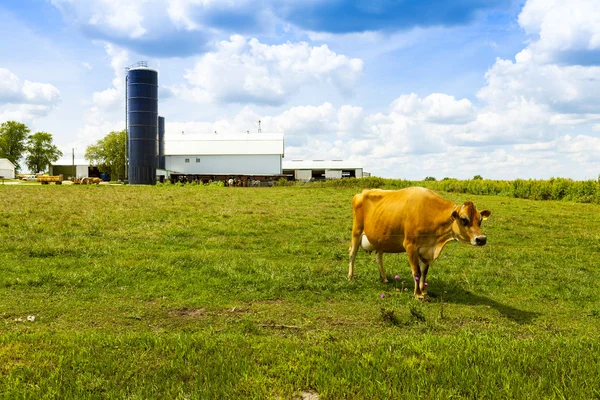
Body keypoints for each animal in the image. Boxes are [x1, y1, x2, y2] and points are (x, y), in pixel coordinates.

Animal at [350, 187, 490, 296]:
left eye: (480, 220)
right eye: (464, 219)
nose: (481, 239)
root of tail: (363, 192)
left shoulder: (427, 249)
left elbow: (424, 272)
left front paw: (423, 291)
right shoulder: (410, 245)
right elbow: (416, 272)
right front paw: (417, 294)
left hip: (380, 238)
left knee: (378, 257)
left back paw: (384, 278)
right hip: (357, 230)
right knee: (352, 253)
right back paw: (350, 277)